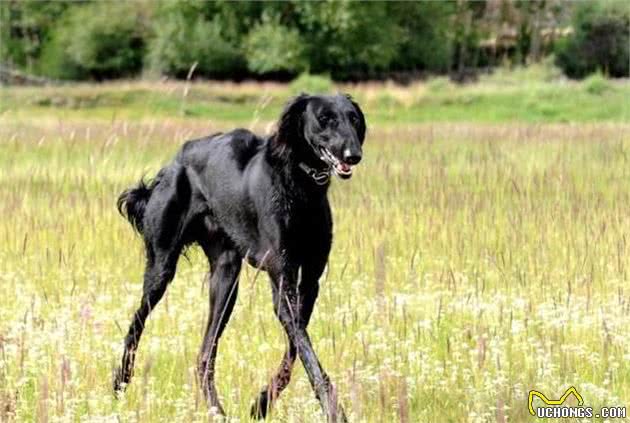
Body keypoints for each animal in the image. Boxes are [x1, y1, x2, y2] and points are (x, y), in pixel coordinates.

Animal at [116, 93, 368, 420]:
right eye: (325, 119)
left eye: (354, 118)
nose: (353, 155)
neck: (300, 183)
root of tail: (175, 161)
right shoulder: (283, 281)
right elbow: (306, 353)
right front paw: (334, 411)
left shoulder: (310, 282)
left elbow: (295, 349)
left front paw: (262, 403)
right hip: (161, 268)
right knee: (136, 325)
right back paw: (120, 382)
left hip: (225, 278)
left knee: (204, 355)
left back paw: (217, 411)